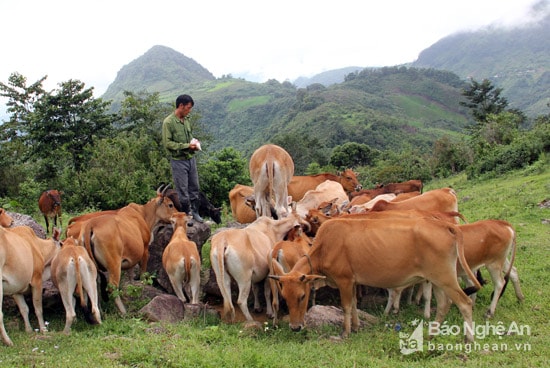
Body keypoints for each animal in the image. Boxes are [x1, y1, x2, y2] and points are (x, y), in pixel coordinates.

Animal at [272, 217, 484, 340]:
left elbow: (346, 306)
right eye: (285, 297)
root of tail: (445, 225)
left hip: (445, 278)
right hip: (437, 281)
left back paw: (468, 339)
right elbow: (354, 304)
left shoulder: (344, 280)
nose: (295, 327)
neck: (324, 246)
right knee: (443, 305)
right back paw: (432, 335)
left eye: (302, 296)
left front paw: (346, 332)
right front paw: (356, 327)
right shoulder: (353, 282)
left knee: (464, 303)